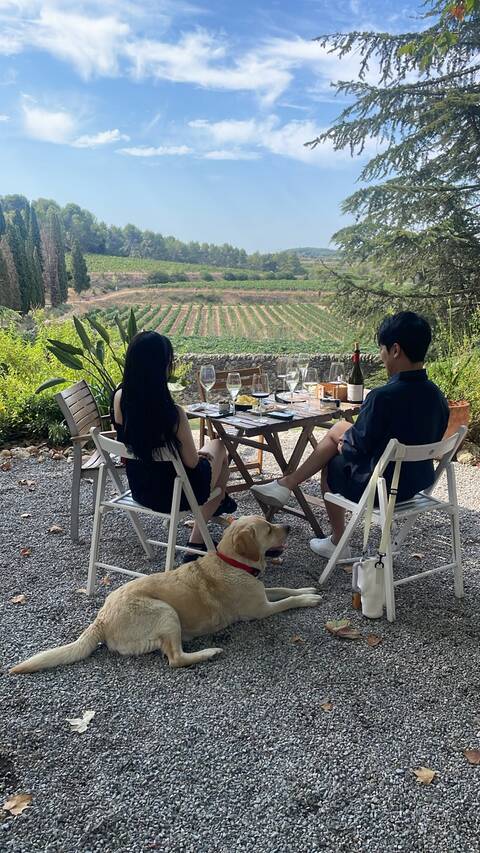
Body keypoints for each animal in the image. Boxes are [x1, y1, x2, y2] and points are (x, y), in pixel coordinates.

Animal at [9, 515, 321, 673]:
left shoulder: (262, 592)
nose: (288, 526)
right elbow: (288, 600)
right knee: (175, 659)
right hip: (166, 612)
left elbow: (284, 589)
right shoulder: (261, 609)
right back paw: (208, 653)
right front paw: (308, 599)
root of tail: (101, 619)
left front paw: (307, 589)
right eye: (268, 529)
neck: (233, 562)